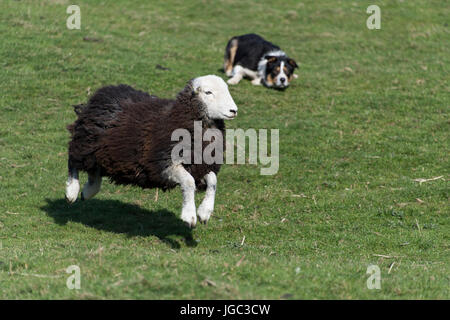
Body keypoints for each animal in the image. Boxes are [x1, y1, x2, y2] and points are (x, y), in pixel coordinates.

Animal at [65, 75, 239, 228]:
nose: (234, 110)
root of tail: (104, 92)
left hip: (102, 152)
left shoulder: (200, 166)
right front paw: (189, 216)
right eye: (208, 92)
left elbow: (213, 181)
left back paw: (88, 191)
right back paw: (72, 192)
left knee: (94, 171)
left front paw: (204, 212)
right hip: (86, 143)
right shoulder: (163, 164)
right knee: (72, 160)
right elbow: (189, 182)